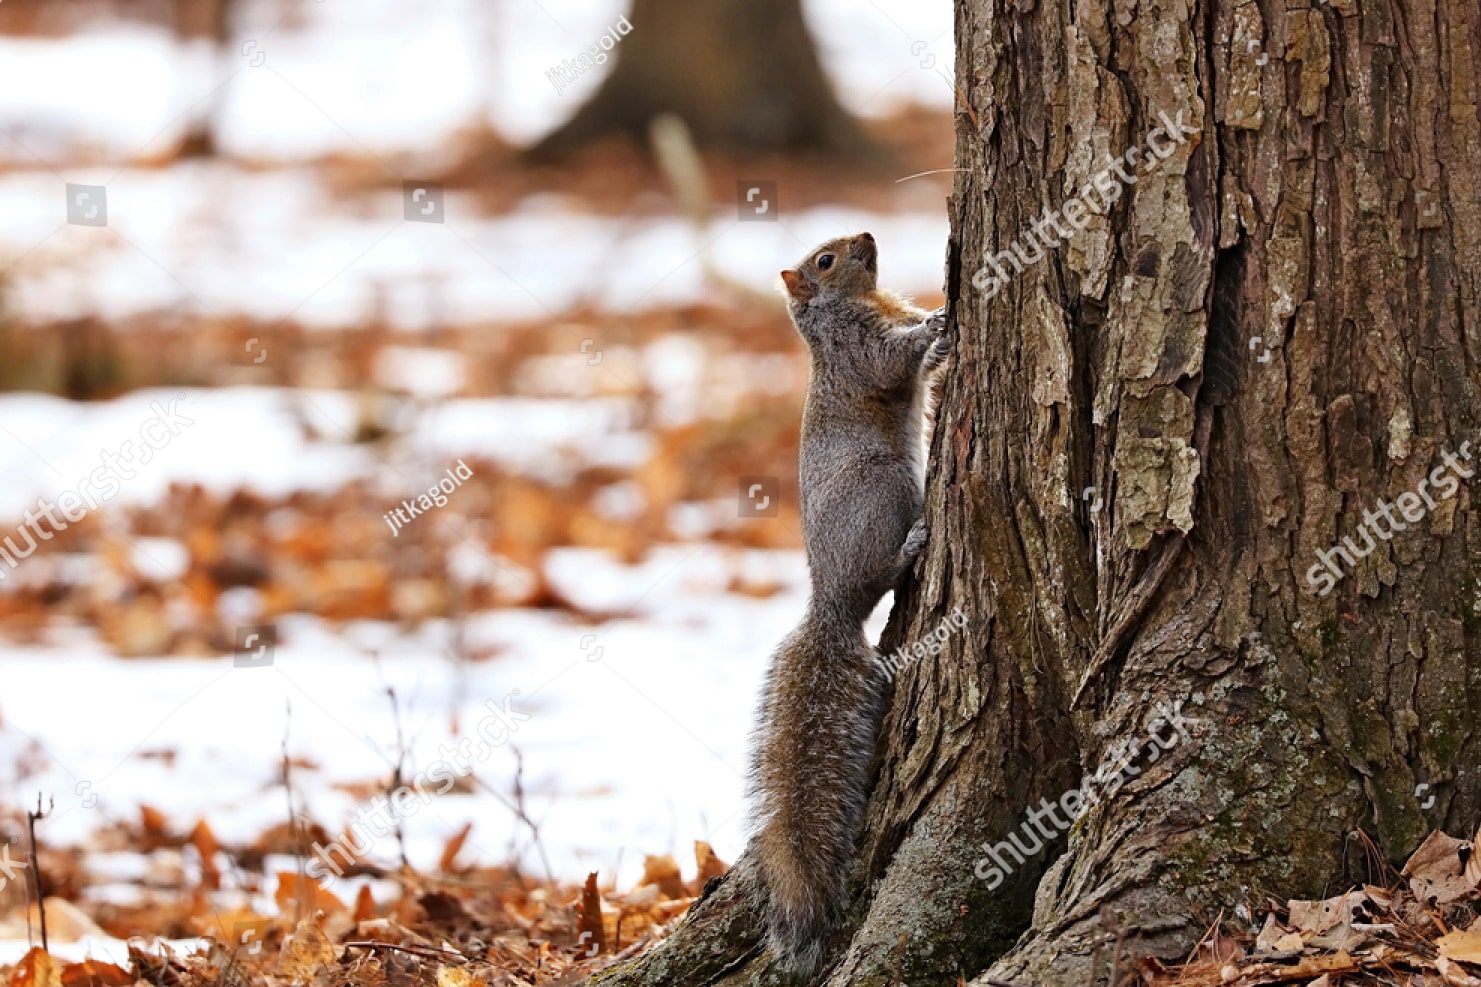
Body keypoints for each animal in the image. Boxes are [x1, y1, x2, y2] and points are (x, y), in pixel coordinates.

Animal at [747, 231, 949, 973]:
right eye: (825, 261)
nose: (866, 237)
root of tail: (831, 601)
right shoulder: (856, 350)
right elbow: (892, 363)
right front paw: (939, 326)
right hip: (884, 487)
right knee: (886, 572)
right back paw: (912, 544)